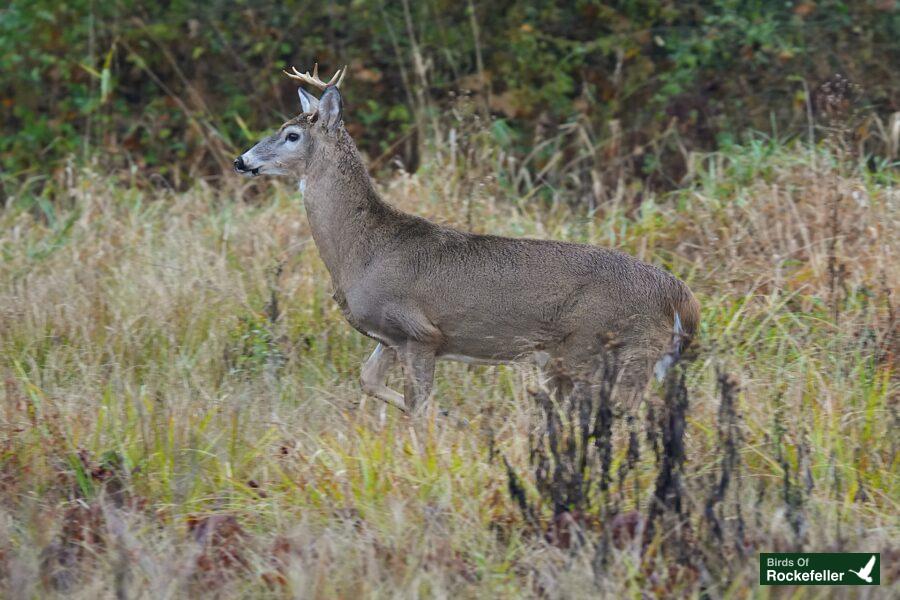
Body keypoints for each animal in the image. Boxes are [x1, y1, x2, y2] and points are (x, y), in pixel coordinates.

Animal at [236, 64, 700, 412]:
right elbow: (368, 381)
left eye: (292, 134)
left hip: (612, 350)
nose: (242, 160)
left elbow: (418, 406)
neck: (362, 252)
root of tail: (679, 295)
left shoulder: (421, 331)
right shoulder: (391, 337)